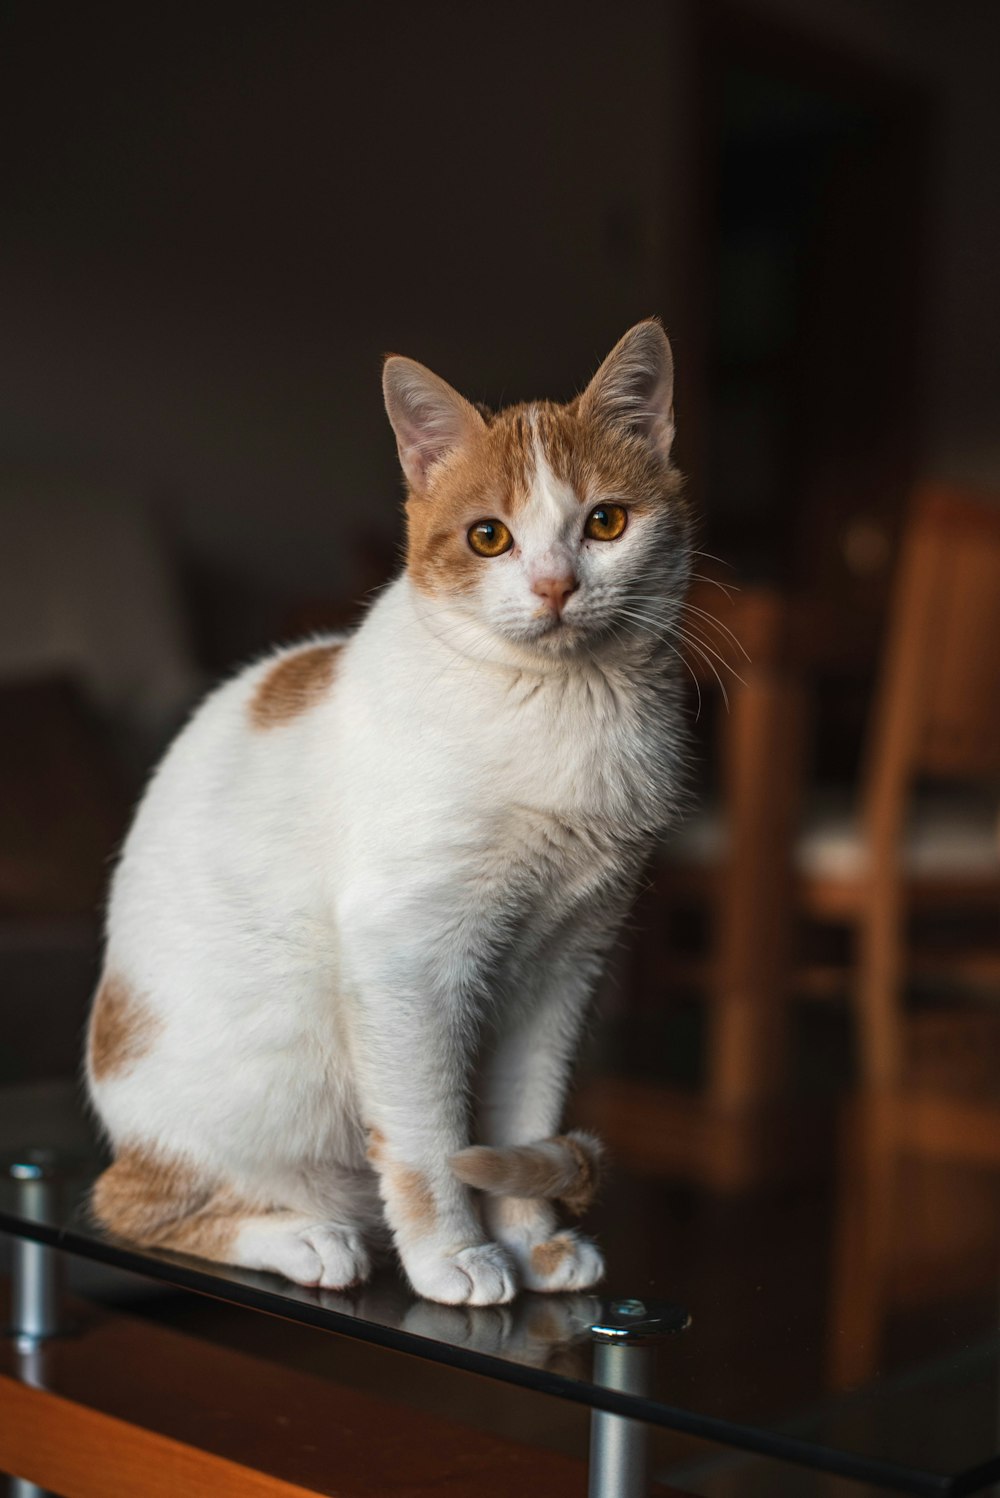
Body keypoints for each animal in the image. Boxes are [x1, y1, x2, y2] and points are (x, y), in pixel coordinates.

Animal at [86, 322, 691, 1306]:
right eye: (489, 538)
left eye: (605, 523)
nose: (555, 586)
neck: (559, 708)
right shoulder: (406, 956)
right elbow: (427, 1137)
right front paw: (455, 1257)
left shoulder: (566, 963)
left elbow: (523, 1115)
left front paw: (532, 1240)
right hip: (272, 1081)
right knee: (132, 1203)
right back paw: (307, 1238)